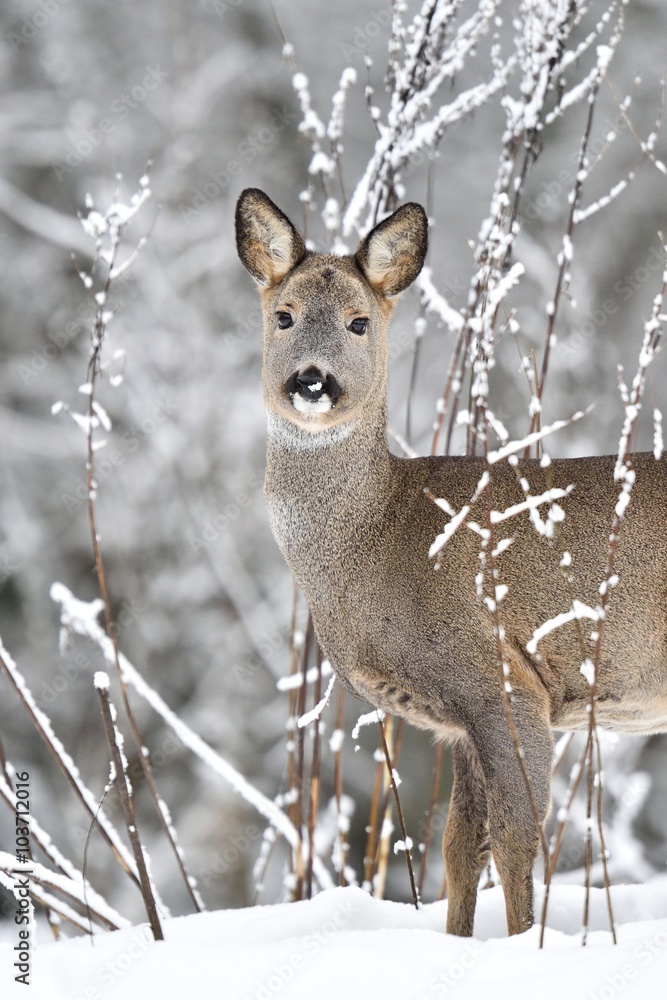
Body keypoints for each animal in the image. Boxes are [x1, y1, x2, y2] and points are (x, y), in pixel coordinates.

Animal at [235, 187, 667, 937]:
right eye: (283, 315)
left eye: (358, 322)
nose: (312, 381)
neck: (380, 542)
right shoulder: (458, 719)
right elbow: (459, 846)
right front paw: (459, 945)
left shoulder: (504, 677)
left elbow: (516, 837)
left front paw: (525, 946)